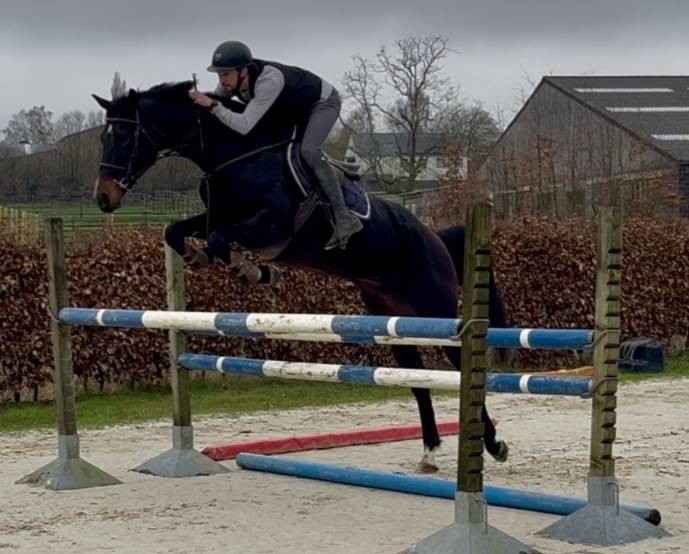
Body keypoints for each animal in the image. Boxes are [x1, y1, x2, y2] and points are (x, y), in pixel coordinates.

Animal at [92, 80, 509, 471]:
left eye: (124, 136)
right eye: (102, 138)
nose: (103, 199)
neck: (231, 156)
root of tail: (434, 237)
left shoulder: (273, 224)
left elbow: (220, 237)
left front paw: (253, 269)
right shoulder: (220, 216)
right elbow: (177, 231)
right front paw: (203, 256)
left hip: (436, 310)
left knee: (462, 368)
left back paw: (492, 444)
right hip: (393, 321)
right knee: (418, 382)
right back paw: (430, 450)